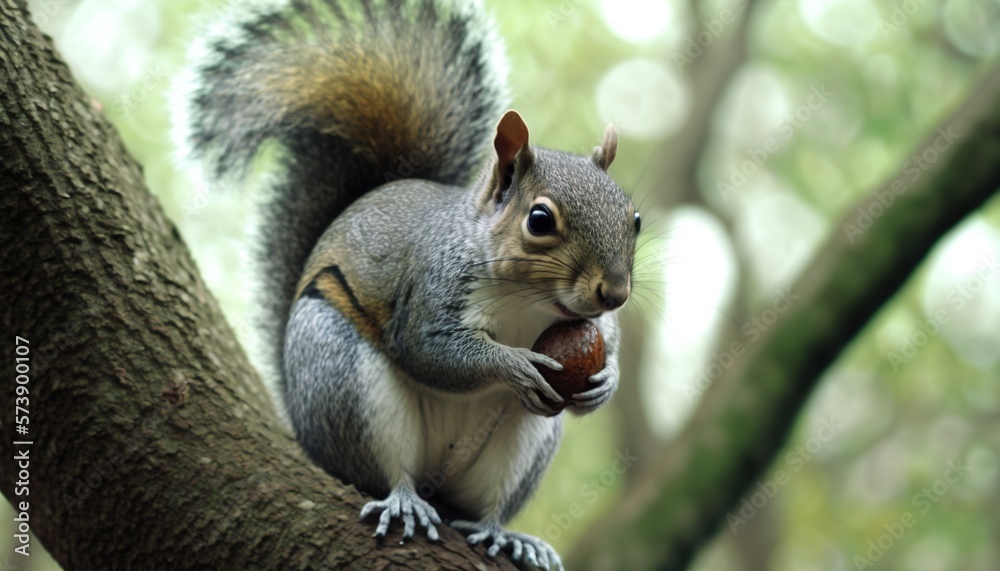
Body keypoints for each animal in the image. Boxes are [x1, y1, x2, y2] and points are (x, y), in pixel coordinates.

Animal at [172, 0, 640, 568]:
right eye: (540, 220)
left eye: (634, 219)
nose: (614, 293)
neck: (530, 300)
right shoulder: (431, 290)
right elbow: (430, 351)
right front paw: (512, 364)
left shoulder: (591, 323)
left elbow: (606, 341)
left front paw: (605, 380)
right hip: (339, 372)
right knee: (383, 470)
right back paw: (404, 502)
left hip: (525, 438)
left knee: (488, 505)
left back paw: (507, 535)